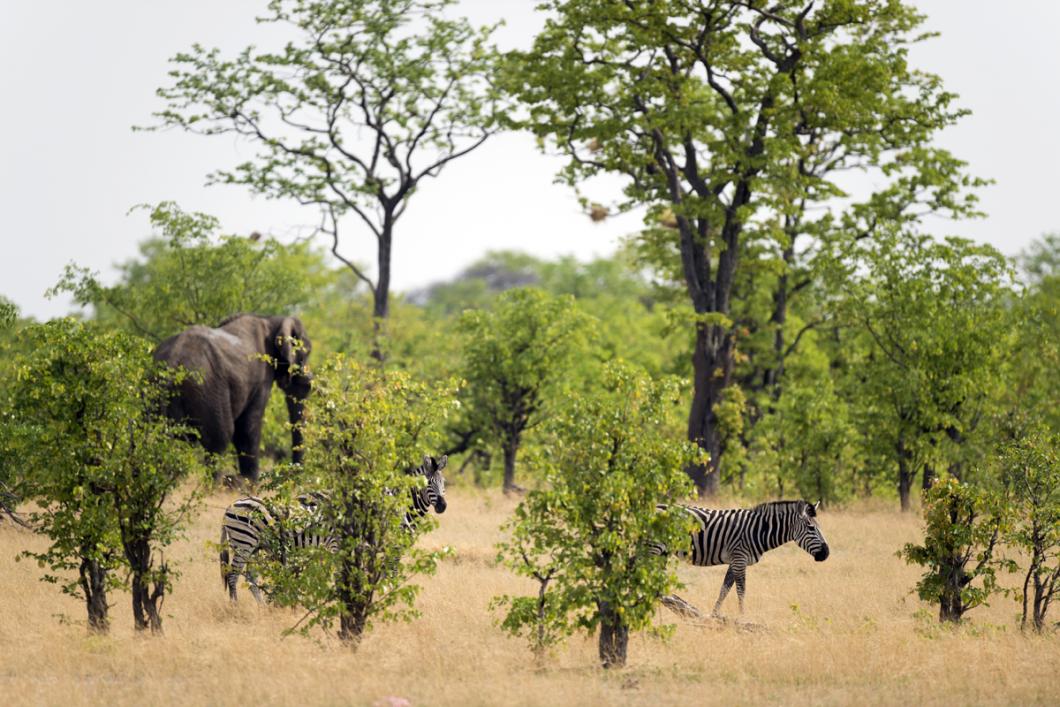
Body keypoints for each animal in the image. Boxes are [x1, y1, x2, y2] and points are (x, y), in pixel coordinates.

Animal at [152, 315, 309, 487]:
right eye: (306, 355)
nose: (307, 383)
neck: (271, 320)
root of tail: (171, 364)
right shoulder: (262, 378)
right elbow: (247, 427)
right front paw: (249, 484)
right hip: (208, 388)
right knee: (220, 437)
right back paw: (213, 487)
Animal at [217, 453, 449, 602]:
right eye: (429, 483)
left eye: (444, 483)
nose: (443, 506)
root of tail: (231, 504)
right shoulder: (379, 547)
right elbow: (383, 574)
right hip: (244, 544)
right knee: (233, 575)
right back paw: (235, 607)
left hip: (255, 547)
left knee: (251, 576)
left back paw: (261, 606)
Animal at [652, 498, 826, 619]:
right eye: (811, 528)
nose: (826, 553)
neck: (758, 531)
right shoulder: (739, 559)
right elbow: (741, 591)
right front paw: (743, 618)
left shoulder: (735, 561)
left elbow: (724, 589)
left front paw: (713, 616)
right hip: (654, 547)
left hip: (662, 552)